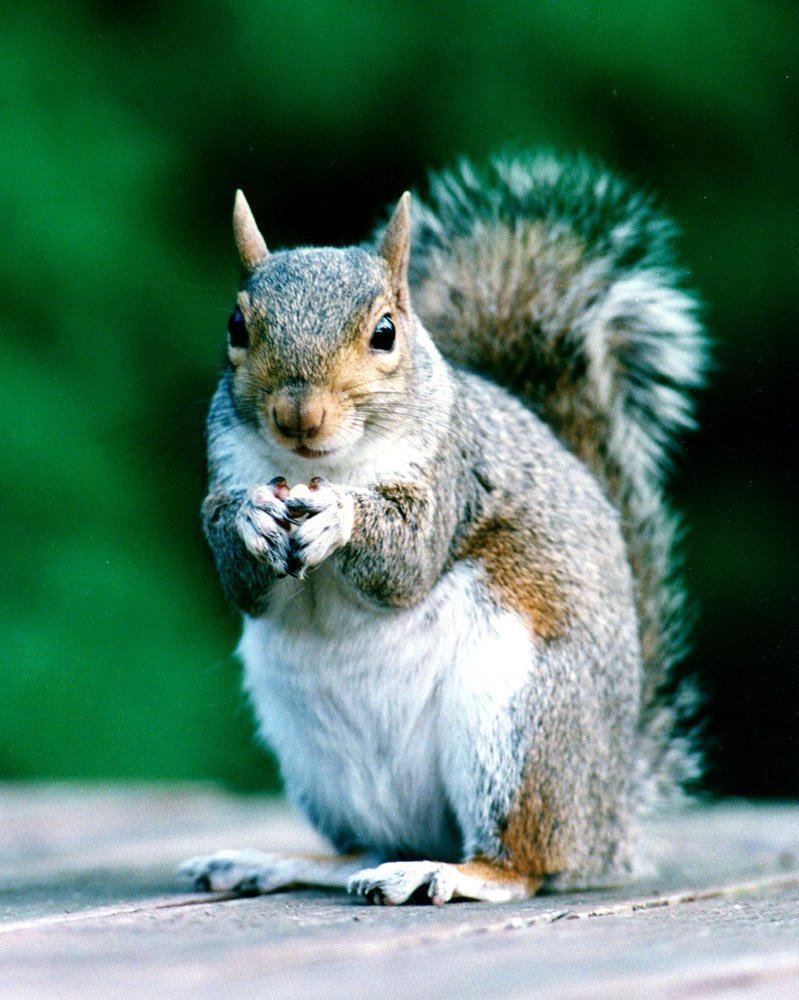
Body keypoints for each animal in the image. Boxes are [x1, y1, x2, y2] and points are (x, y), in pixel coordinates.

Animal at [180, 152, 706, 905]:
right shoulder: (224, 469)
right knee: (370, 844)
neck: (318, 465)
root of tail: (607, 820)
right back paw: (275, 862)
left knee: (522, 864)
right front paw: (252, 517)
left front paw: (343, 514)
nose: (298, 415)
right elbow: (241, 575)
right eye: (235, 326)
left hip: (515, 721)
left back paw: (447, 872)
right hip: (318, 758)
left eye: (385, 332)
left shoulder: (453, 477)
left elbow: (407, 559)